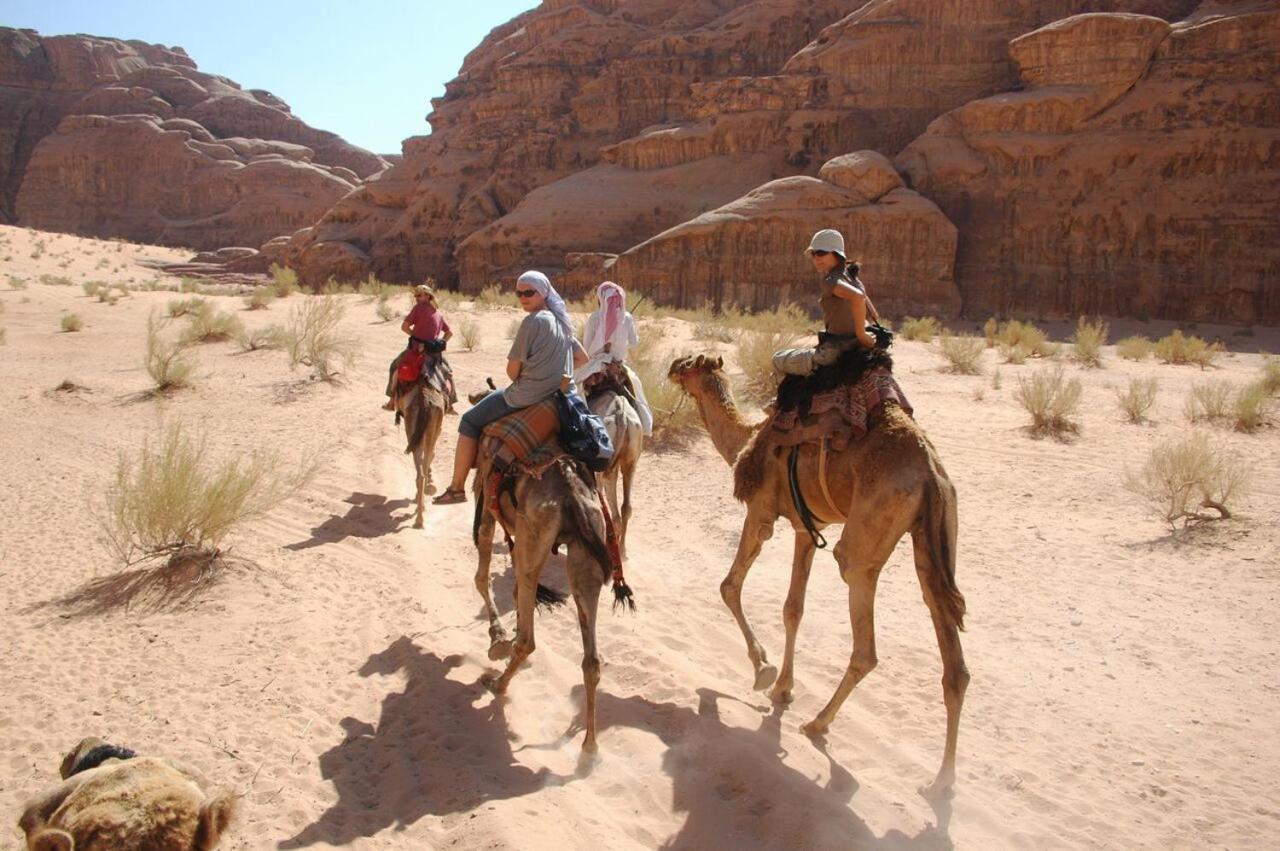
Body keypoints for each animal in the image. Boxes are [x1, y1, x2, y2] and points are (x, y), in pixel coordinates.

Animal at [391, 376, 448, 524]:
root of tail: (425, 402)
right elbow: (431, 456)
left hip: (412, 427)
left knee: (420, 470)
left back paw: (418, 514)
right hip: (432, 426)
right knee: (425, 464)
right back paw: (420, 515)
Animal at [471, 450, 634, 752]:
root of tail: (572, 498)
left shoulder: (486, 503)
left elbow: (481, 577)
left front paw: (498, 639)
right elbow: (512, 593)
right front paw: (506, 637)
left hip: (533, 533)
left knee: (528, 638)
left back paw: (498, 684)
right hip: (586, 548)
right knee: (591, 659)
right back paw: (589, 746)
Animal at [670, 355, 967, 793]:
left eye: (689, 363)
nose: (672, 368)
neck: (747, 438)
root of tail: (931, 473)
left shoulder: (761, 512)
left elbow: (729, 586)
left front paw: (763, 670)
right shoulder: (805, 528)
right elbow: (793, 608)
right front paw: (783, 689)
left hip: (863, 545)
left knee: (865, 641)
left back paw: (818, 724)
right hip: (933, 537)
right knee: (950, 652)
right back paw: (942, 780)